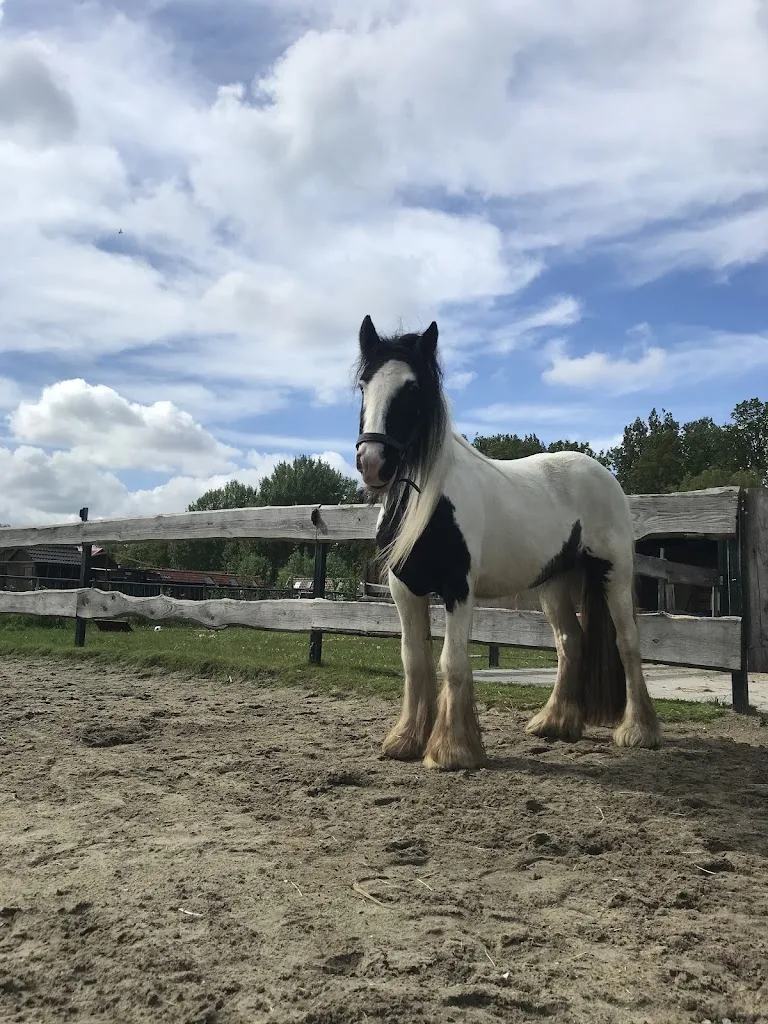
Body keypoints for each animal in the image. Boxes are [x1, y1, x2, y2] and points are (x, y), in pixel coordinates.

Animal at [354, 314, 662, 771]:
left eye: (412, 388)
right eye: (364, 385)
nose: (373, 463)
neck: (428, 502)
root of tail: (602, 474)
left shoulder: (458, 590)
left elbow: (453, 662)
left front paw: (453, 751)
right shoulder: (404, 590)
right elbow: (414, 661)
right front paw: (405, 741)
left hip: (614, 576)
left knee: (627, 643)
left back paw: (639, 731)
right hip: (553, 584)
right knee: (569, 642)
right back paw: (554, 723)